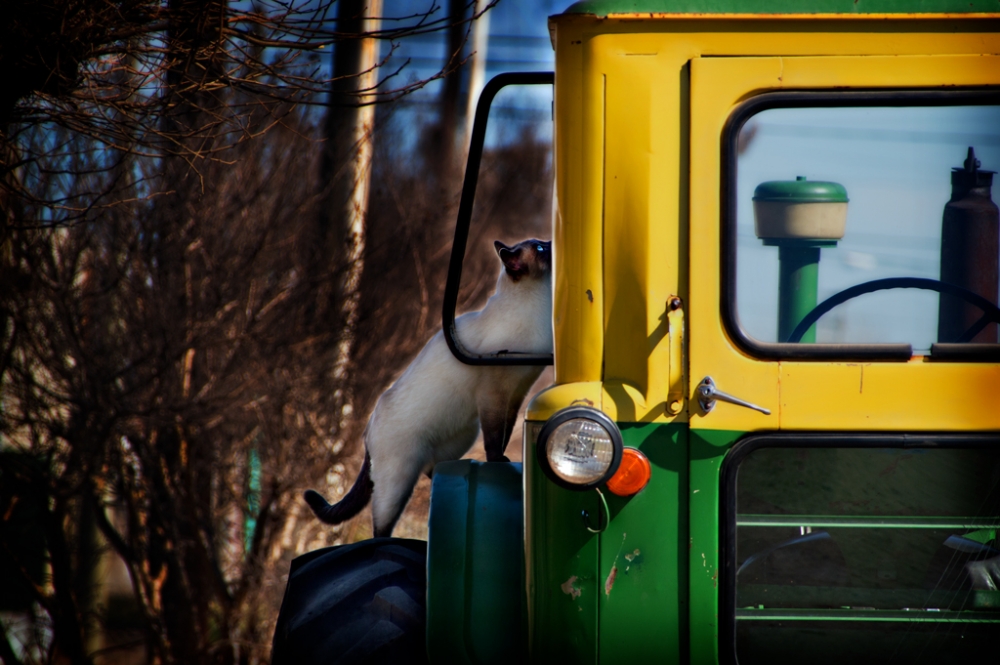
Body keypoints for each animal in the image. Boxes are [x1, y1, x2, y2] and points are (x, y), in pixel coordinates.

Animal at [304, 236, 556, 536]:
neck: (537, 308)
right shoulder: (494, 394)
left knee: (432, 470)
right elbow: (495, 438)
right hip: (398, 483)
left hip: (463, 434)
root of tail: (368, 429)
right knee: (381, 525)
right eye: (540, 249)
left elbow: (505, 433)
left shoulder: (517, 393)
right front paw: (498, 462)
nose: (550, 241)